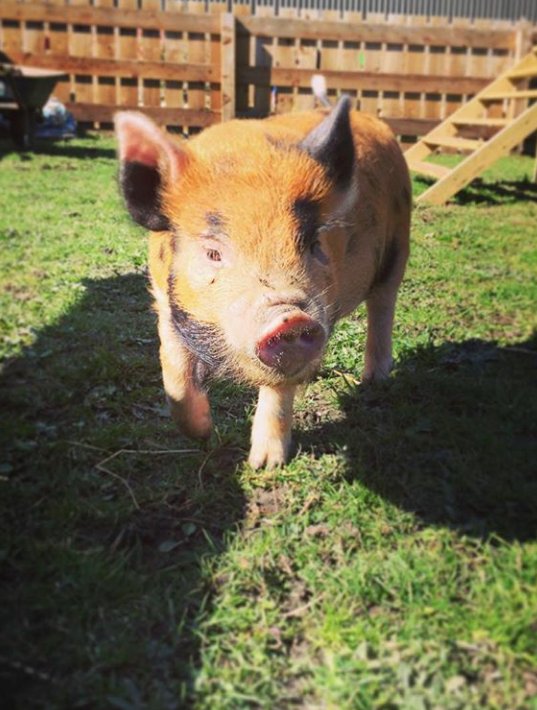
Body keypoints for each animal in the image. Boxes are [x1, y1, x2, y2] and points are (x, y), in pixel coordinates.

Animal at [114, 96, 411, 469]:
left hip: (400, 244)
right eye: (213, 253)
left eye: (314, 245)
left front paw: (265, 465)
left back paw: (374, 381)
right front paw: (203, 436)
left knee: (383, 306)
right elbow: (174, 373)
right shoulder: (163, 301)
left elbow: (279, 387)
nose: (291, 317)